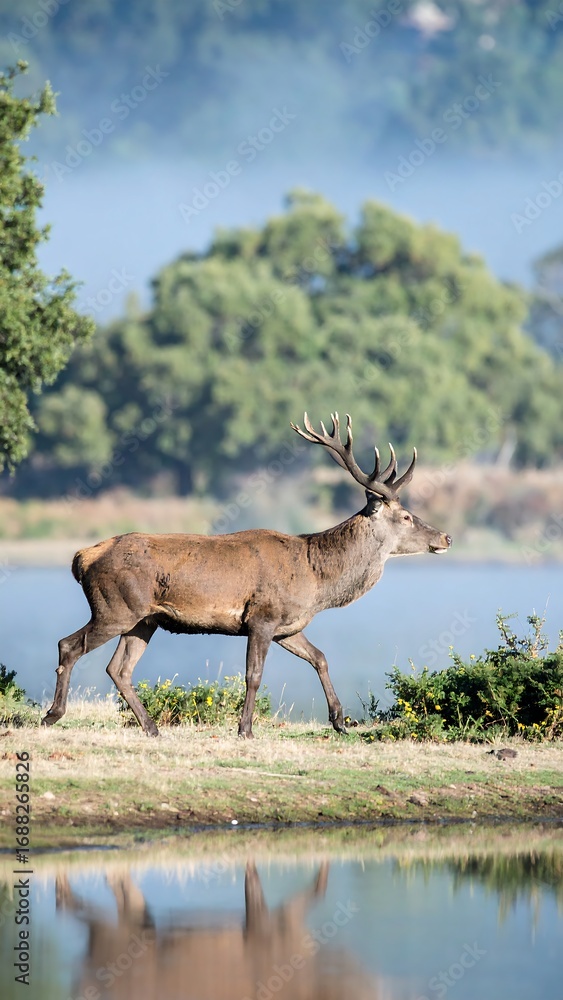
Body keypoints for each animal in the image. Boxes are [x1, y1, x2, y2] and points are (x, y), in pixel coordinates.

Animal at [42, 413, 451, 738]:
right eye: (406, 516)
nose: (446, 536)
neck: (317, 582)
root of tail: (81, 557)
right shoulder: (261, 617)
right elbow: (254, 675)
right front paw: (246, 729)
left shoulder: (288, 624)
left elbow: (320, 657)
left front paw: (339, 721)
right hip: (114, 608)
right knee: (69, 645)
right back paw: (52, 715)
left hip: (144, 619)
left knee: (119, 669)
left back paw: (152, 727)